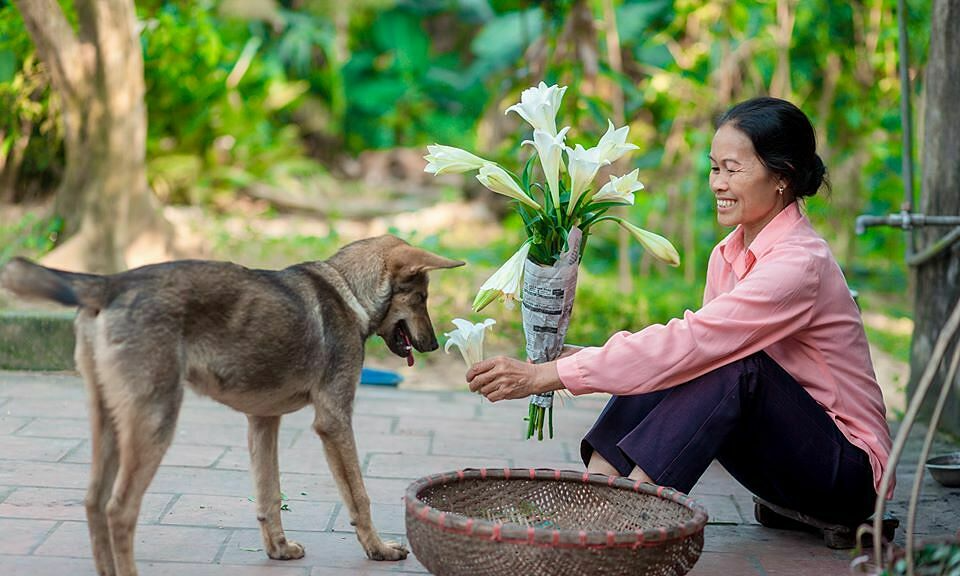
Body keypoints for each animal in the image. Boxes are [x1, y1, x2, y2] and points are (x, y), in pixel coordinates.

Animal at [0, 236, 464, 572]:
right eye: (421, 298)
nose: (433, 345)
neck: (347, 289)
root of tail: (111, 283)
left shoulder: (263, 421)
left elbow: (268, 495)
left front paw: (278, 549)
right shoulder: (333, 420)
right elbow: (360, 497)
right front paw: (378, 548)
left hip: (109, 423)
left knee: (94, 504)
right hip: (154, 423)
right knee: (120, 511)